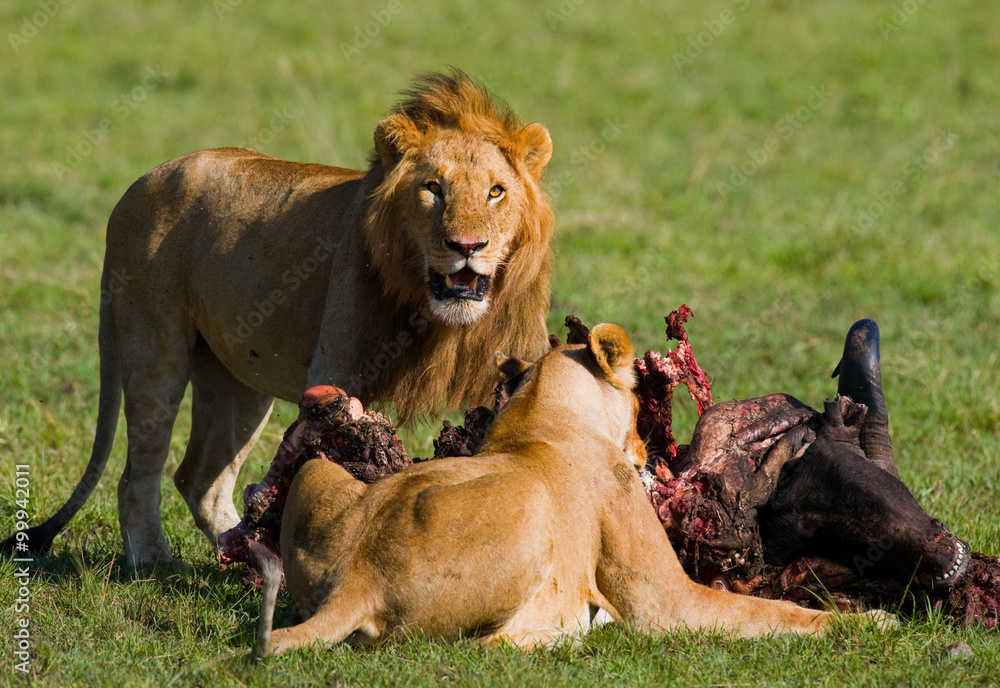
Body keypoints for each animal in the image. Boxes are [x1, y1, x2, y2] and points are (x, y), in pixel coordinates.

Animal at [9, 71, 555, 569]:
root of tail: (136, 186)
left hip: (238, 379)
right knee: (138, 473)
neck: (439, 319)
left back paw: (248, 553)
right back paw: (154, 560)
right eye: (434, 189)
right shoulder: (335, 374)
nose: (467, 246)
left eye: (496, 192)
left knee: (200, 479)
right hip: (154, 348)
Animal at [250, 324, 837, 656]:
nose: (645, 452)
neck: (540, 409)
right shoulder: (664, 600)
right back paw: (573, 630)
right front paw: (854, 623)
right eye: (638, 403)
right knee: (488, 646)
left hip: (316, 472)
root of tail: (357, 582)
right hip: (533, 507)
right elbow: (772, 613)